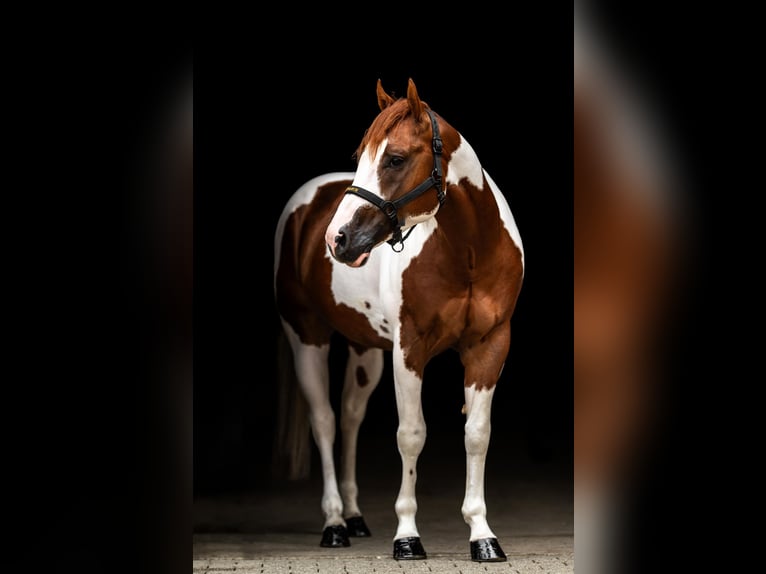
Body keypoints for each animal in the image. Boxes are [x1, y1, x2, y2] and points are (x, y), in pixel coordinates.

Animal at [272, 78, 524, 562]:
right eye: (361, 158)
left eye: (395, 158)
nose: (337, 240)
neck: (468, 251)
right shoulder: (410, 348)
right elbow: (411, 434)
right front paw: (407, 537)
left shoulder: (489, 345)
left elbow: (477, 433)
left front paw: (483, 536)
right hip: (306, 336)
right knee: (325, 421)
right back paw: (335, 523)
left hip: (365, 348)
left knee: (350, 417)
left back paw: (355, 516)